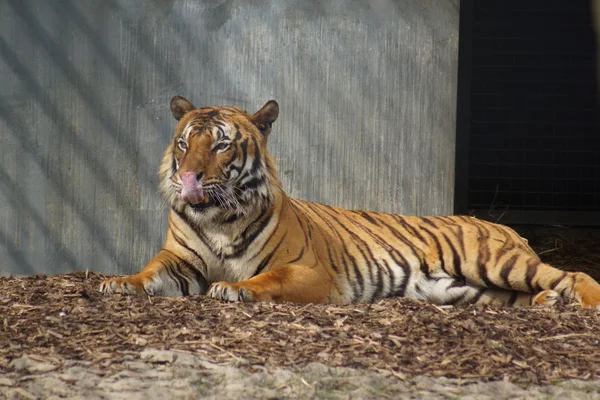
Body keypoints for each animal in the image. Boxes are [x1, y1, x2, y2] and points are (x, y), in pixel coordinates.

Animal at [99, 97, 600, 310]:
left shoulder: (308, 270)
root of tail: (503, 225)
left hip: (490, 260)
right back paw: (548, 303)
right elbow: (148, 272)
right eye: (185, 144)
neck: (220, 218)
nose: (188, 176)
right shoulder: (179, 260)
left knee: (573, 273)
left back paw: (580, 301)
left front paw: (235, 289)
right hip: (464, 287)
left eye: (221, 145)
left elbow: (268, 278)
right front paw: (117, 283)